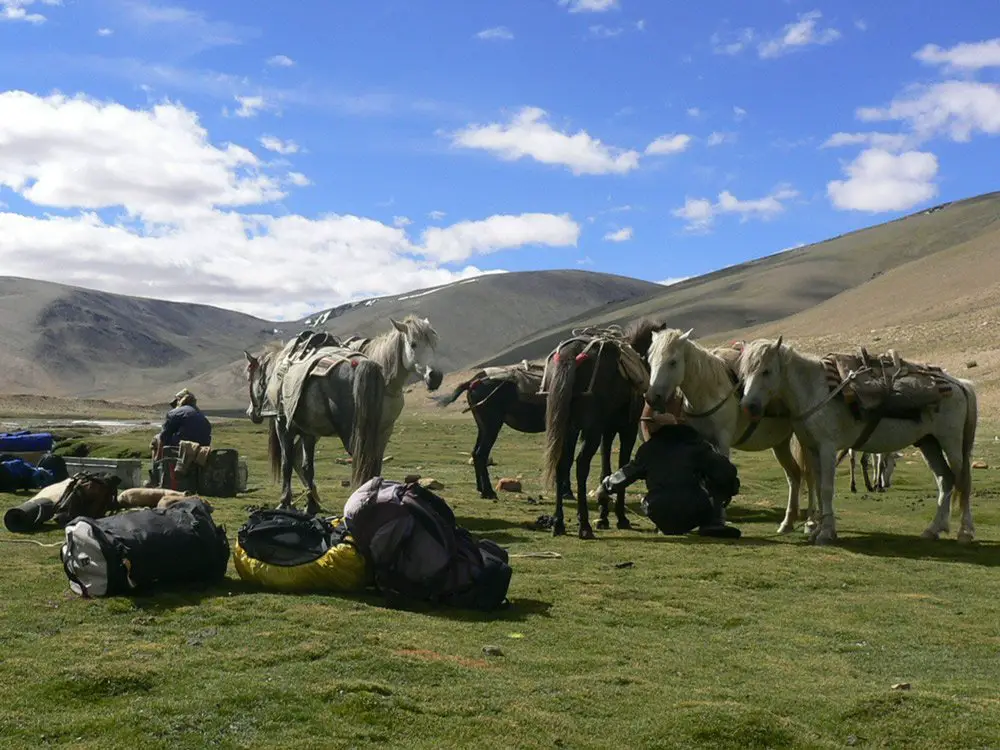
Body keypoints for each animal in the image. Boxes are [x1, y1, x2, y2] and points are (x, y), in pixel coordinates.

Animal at [242, 340, 382, 516]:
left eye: (249, 377)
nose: (250, 413)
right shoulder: (308, 434)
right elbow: (307, 466)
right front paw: (311, 506)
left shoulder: (284, 429)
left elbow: (286, 464)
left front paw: (284, 503)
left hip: (353, 436)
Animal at [640, 326, 804, 532]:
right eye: (650, 360)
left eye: (673, 362)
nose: (652, 397)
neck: (708, 393)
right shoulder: (701, 442)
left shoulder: (723, 442)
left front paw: (719, 519)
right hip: (781, 443)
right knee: (794, 475)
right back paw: (788, 523)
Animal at [740, 340, 980, 548]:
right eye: (744, 372)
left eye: (766, 371)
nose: (748, 406)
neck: (814, 390)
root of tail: (960, 385)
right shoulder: (814, 449)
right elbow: (817, 485)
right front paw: (817, 529)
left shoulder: (827, 448)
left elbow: (826, 488)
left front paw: (826, 533)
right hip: (929, 443)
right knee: (945, 479)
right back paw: (933, 530)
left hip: (951, 442)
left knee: (963, 482)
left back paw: (964, 533)